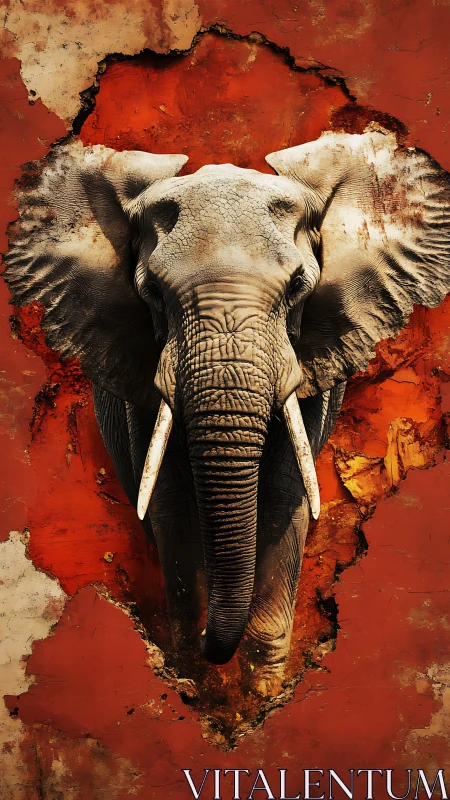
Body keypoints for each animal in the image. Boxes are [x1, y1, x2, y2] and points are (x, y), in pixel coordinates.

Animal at [4, 128, 450, 686]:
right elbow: (171, 500)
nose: (208, 642)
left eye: (298, 287)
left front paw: (261, 684)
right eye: (153, 292)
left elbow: (285, 494)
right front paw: (194, 672)